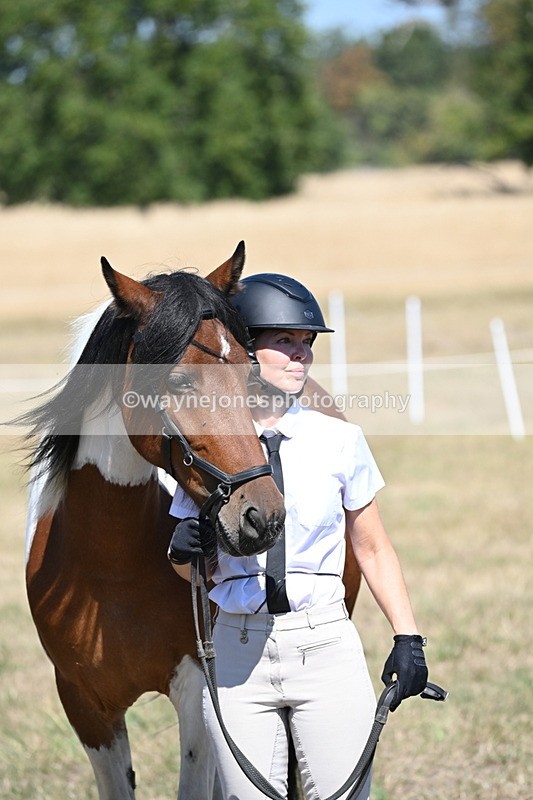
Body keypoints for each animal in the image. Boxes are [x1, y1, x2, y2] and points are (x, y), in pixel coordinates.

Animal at [22, 242, 286, 800]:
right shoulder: (85, 706)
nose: (263, 515)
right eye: (179, 381)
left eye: (249, 376)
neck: (109, 567)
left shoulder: (199, 691)